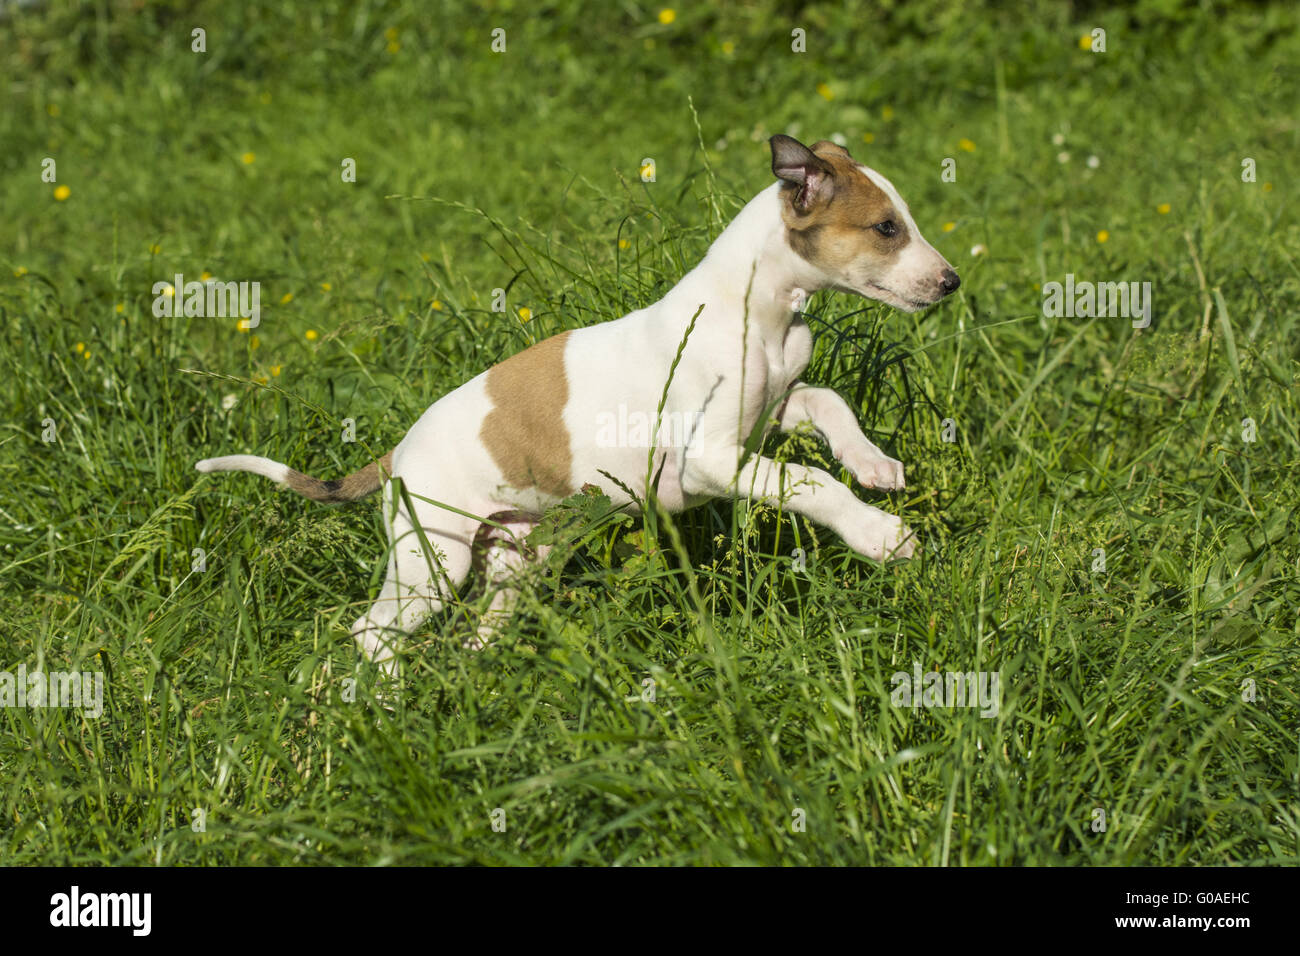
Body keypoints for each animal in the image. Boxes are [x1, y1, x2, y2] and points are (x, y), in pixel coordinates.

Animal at [197, 136, 961, 665]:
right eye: (887, 228)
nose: (952, 282)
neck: (761, 309)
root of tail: (396, 453)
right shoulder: (711, 459)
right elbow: (808, 482)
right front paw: (879, 534)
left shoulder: (773, 409)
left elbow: (829, 403)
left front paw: (873, 464)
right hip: (433, 561)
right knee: (371, 633)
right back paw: (385, 704)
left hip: (514, 557)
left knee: (479, 627)